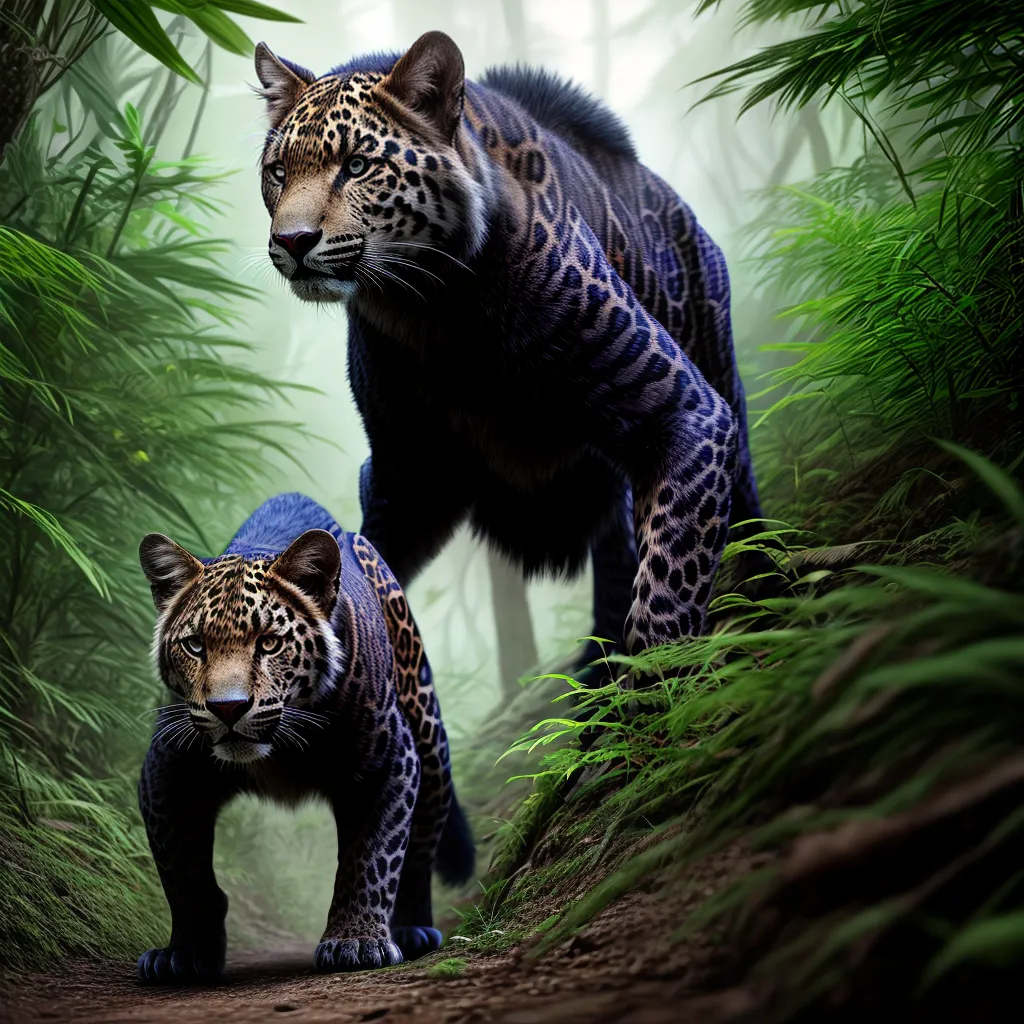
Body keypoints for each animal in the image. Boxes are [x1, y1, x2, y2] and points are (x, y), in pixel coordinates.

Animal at [135, 492, 474, 983]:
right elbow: (181, 871)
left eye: (269, 643)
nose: (228, 708)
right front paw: (184, 952)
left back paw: (413, 928)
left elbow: (373, 856)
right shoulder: (165, 769)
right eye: (195, 645)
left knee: (423, 839)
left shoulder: (393, 759)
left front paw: (356, 941)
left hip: (427, 733)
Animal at [253, 31, 768, 682]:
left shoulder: (687, 412)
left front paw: (660, 690)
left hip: (717, 366)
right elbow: (360, 565)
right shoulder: (405, 473)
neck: (435, 312)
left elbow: (669, 586)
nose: (291, 241)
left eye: (357, 165)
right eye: (278, 172)